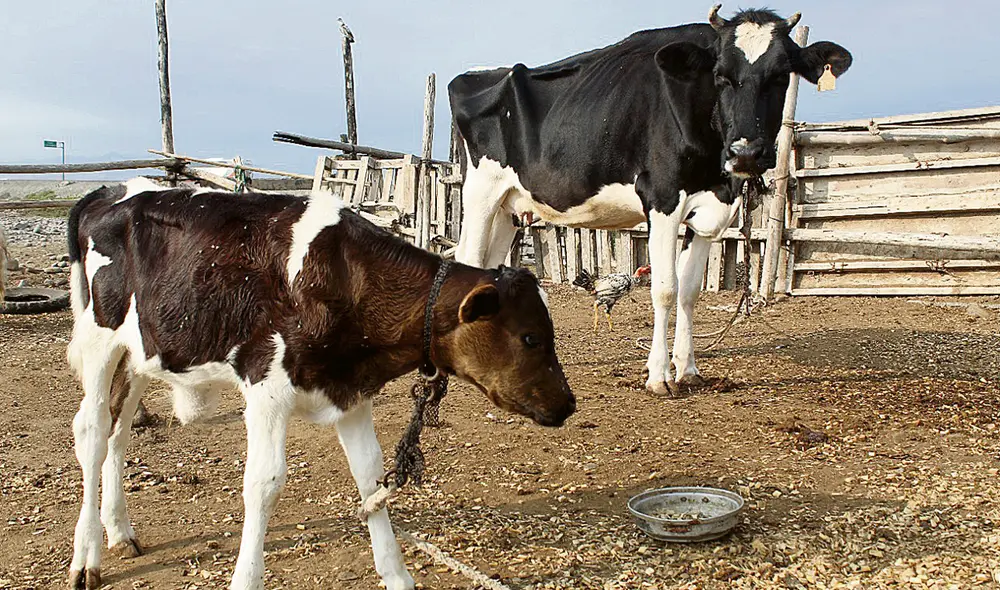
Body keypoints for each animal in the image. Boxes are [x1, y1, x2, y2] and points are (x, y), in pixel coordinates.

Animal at [65, 178, 575, 589]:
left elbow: (371, 477)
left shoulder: (350, 391)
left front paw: (397, 576)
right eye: (531, 336)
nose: (568, 403)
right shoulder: (266, 387)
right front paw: (246, 577)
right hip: (98, 338)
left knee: (118, 431)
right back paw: (86, 558)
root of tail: (108, 191)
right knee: (92, 431)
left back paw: (120, 531)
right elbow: (264, 483)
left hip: (139, 350)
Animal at [449, 5, 852, 396]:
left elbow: (689, 292)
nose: (747, 153)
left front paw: (688, 369)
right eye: (721, 75)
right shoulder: (663, 200)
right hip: (481, 192)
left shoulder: (710, 214)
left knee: (490, 267)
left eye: (782, 75)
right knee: (468, 258)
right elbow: (665, 289)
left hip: (510, 207)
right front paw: (659, 375)